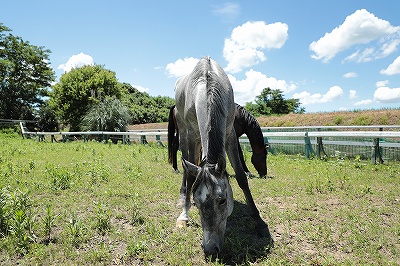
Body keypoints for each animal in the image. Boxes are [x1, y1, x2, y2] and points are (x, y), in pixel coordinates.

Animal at [173, 56, 270, 258]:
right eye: (197, 203)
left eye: (222, 200)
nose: (210, 249)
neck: (208, 84)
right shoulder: (192, 134)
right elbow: (191, 176)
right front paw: (184, 215)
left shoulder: (230, 133)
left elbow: (241, 177)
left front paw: (259, 223)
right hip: (184, 133)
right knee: (186, 170)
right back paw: (182, 198)